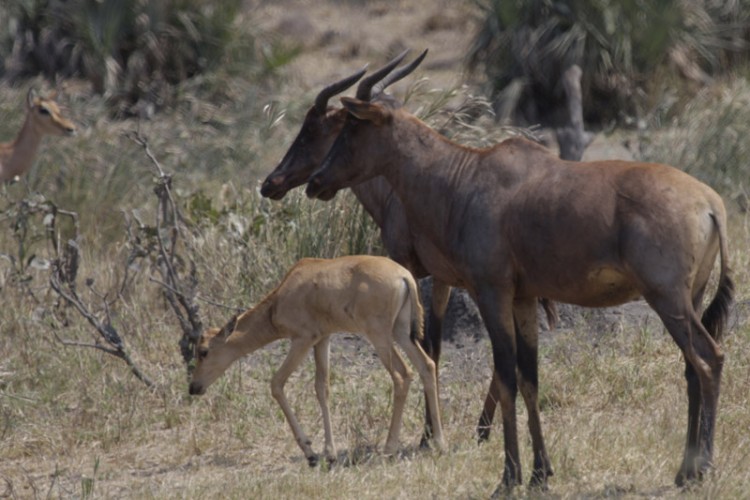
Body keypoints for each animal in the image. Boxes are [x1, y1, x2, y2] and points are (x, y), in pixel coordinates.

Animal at [189, 256, 446, 466]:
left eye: (203, 351)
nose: (194, 387)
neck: (287, 289)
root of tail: (404, 277)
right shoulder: (323, 339)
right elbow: (322, 387)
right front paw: (329, 453)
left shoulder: (303, 339)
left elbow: (276, 383)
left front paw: (310, 453)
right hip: (401, 332)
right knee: (427, 366)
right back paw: (440, 444)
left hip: (379, 335)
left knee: (402, 376)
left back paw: (389, 448)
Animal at [308, 52, 736, 490]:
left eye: (351, 127)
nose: (315, 182)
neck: (467, 176)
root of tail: (710, 203)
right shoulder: (524, 298)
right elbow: (530, 378)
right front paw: (540, 473)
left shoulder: (491, 292)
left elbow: (507, 376)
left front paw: (508, 477)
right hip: (691, 296)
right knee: (691, 369)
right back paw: (685, 471)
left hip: (667, 299)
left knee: (709, 360)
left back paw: (702, 467)